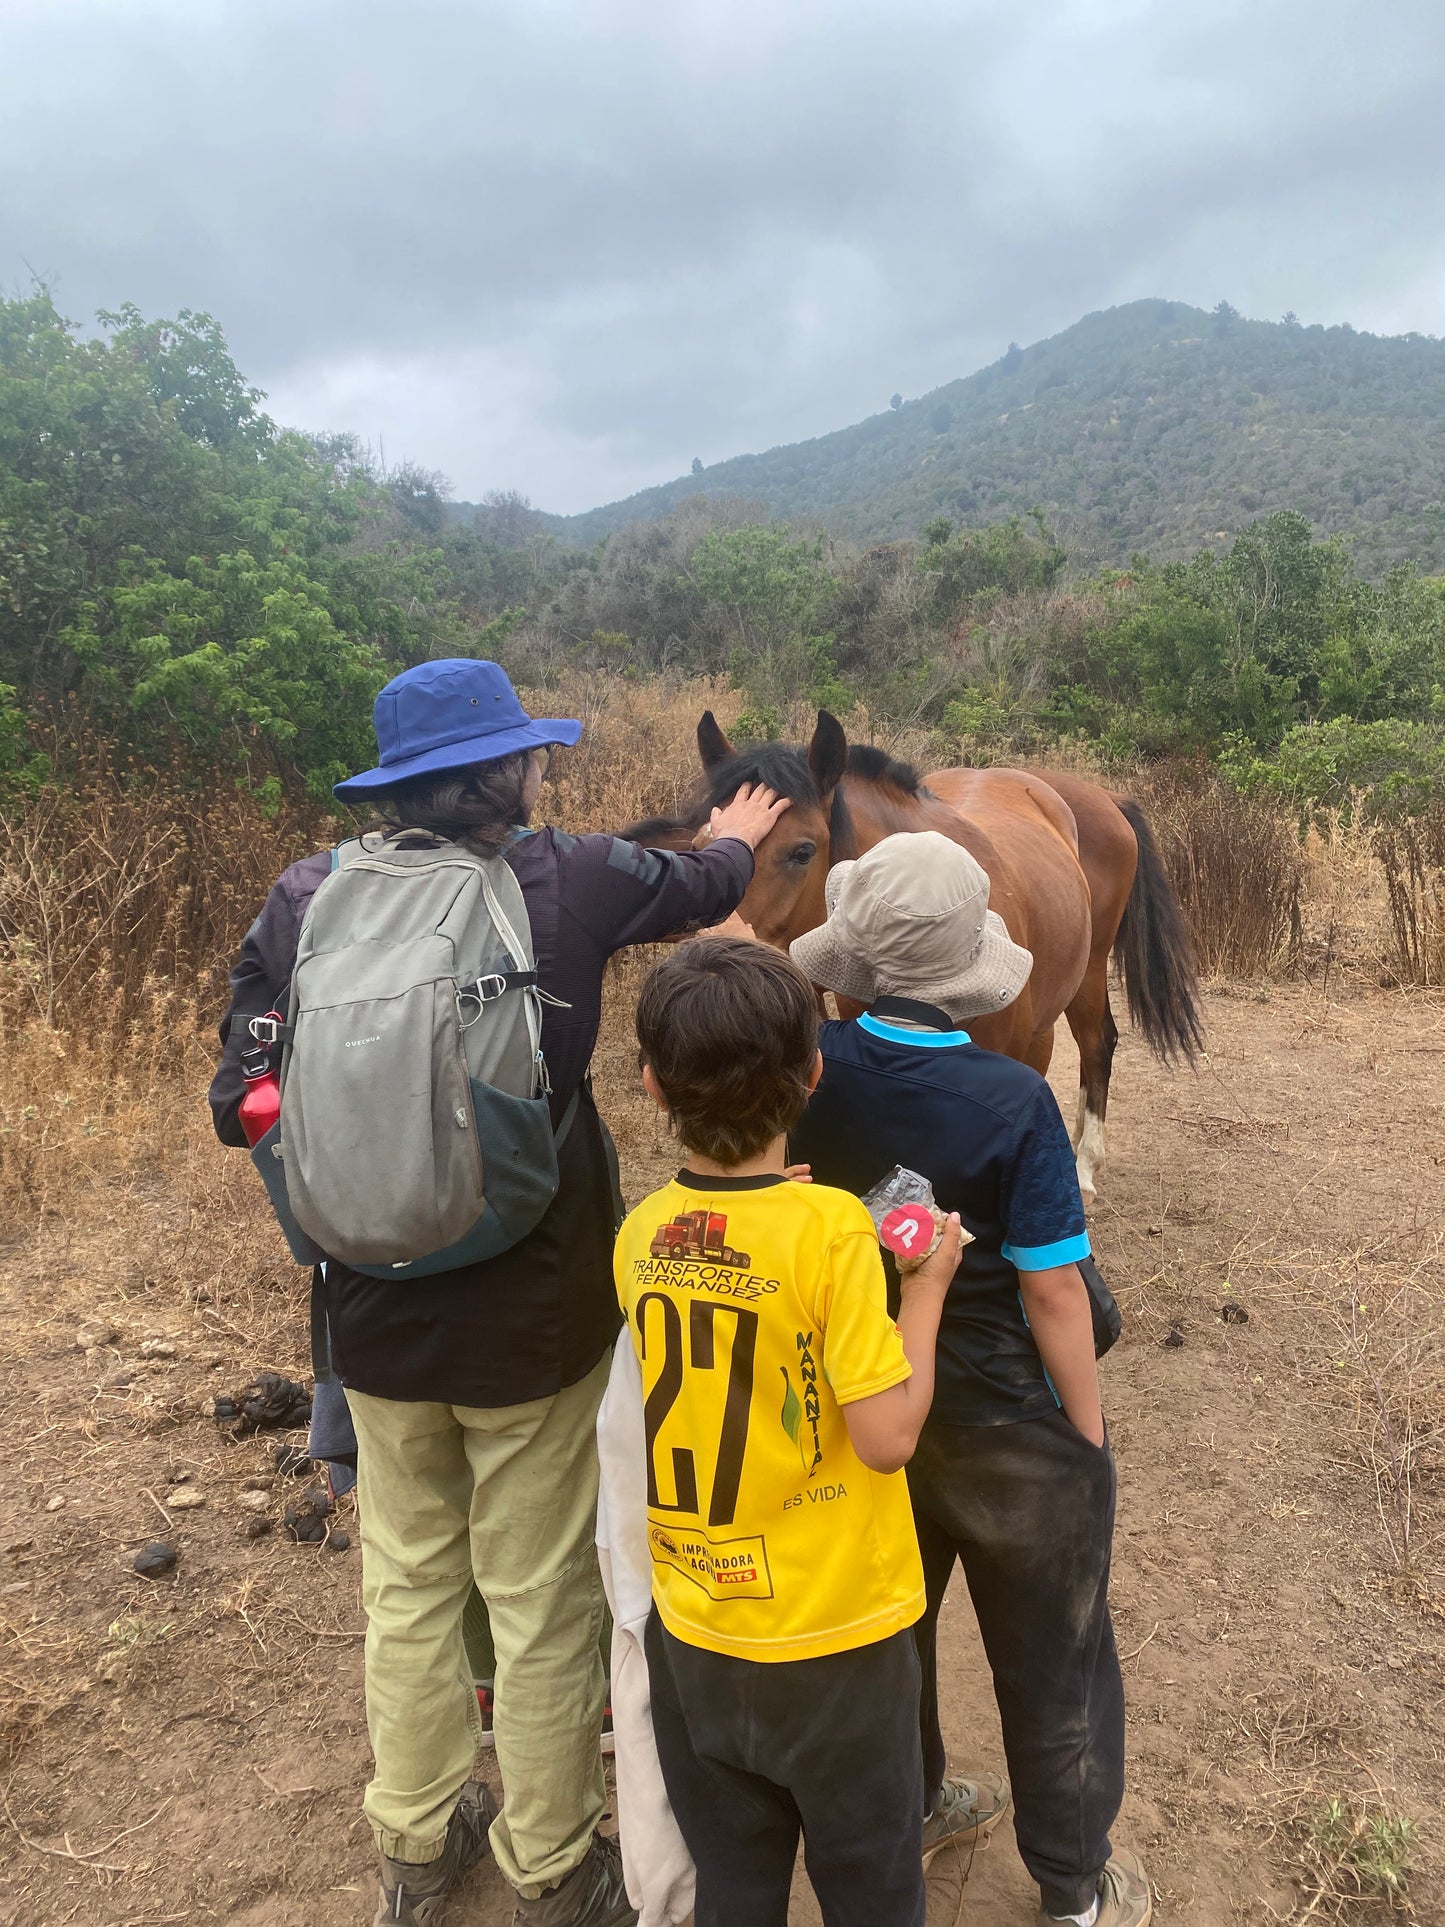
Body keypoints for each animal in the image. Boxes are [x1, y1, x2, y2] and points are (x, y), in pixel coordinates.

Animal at [628, 709, 1202, 1202]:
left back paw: (1083, 1166)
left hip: (1087, 972)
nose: (696, 981)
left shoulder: (1029, 1053)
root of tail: (1100, 797)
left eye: (802, 851)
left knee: (1098, 1043)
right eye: (700, 846)